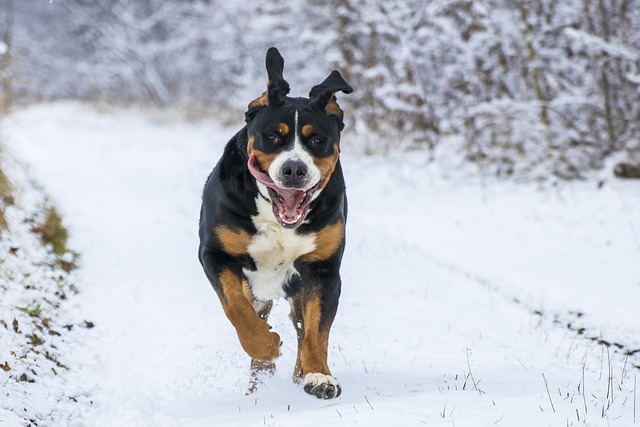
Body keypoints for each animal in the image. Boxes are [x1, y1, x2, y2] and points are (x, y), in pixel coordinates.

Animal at [199, 48, 352, 400]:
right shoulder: (216, 254)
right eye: (272, 136)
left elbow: (316, 330)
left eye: (317, 140)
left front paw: (319, 376)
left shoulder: (323, 270)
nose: (294, 169)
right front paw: (266, 345)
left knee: (301, 326)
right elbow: (237, 309)